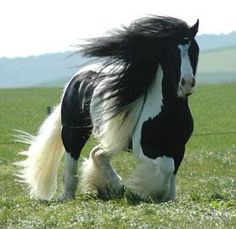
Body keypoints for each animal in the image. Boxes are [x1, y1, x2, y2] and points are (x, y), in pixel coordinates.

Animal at [16, 15, 199, 202]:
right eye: (171, 52)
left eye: (194, 49)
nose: (187, 83)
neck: (169, 110)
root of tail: (76, 80)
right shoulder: (144, 148)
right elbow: (167, 166)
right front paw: (148, 190)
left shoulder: (178, 147)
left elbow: (172, 172)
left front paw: (167, 197)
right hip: (73, 133)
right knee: (72, 164)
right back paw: (70, 196)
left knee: (98, 153)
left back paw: (112, 186)